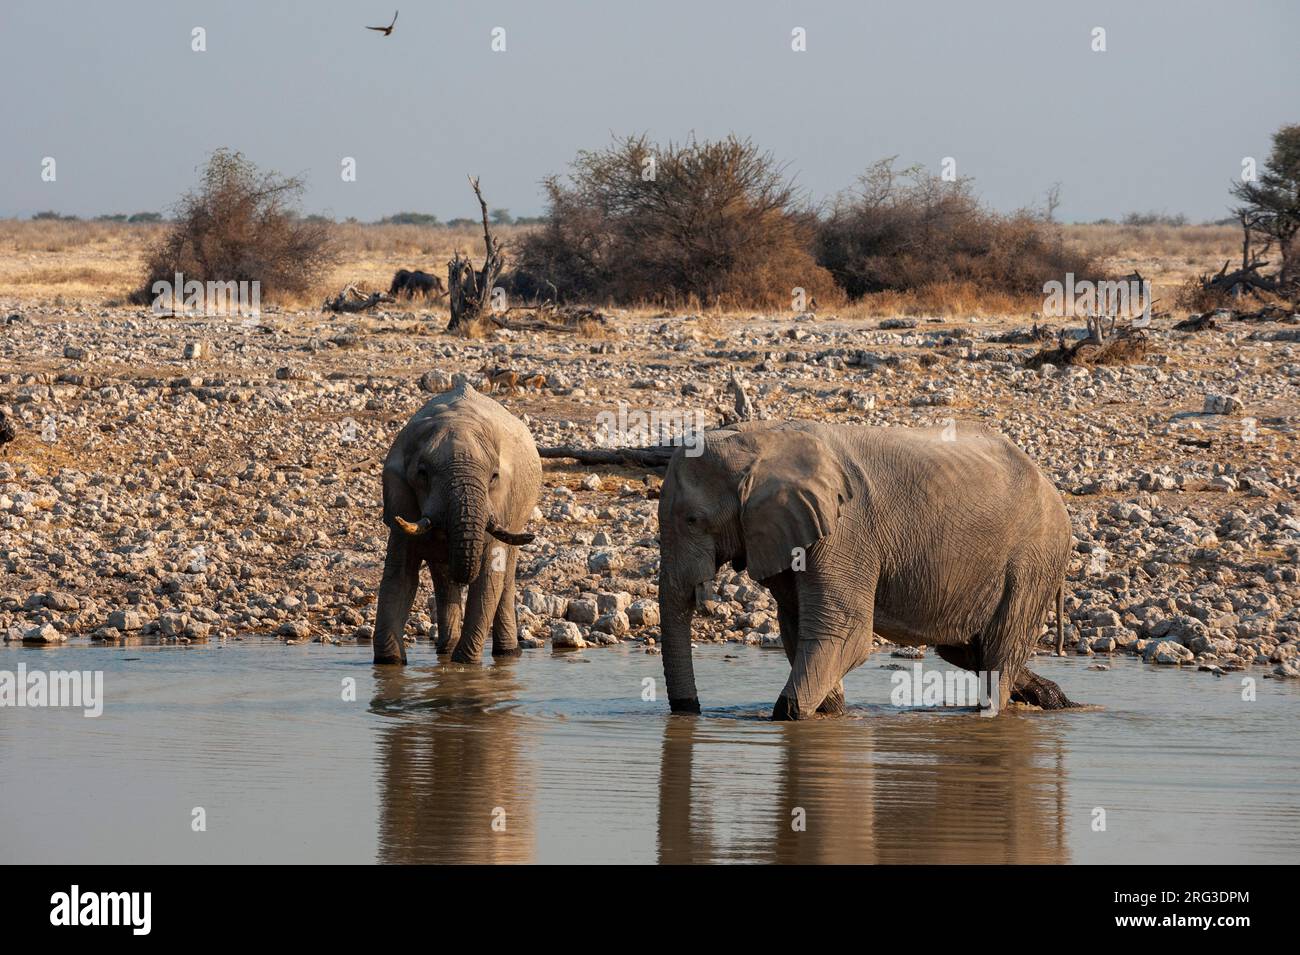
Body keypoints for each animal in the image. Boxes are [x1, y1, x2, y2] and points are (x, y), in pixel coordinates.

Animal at [374, 382, 540, 665]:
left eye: (494, 477)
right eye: (422, 474)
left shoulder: (501, 504)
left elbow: (488, 577)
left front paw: (464, 664)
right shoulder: (400, 501)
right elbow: (400, 575)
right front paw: (390, 663)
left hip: (518, 513)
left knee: (506, 577)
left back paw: (506, 653)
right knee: (442, 579)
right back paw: (446, 650)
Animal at [660, 420, 1076, 722]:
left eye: (693, 520)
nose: (690, 711)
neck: (760, 437)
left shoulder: (844, 532)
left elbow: (844, 633)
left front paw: (788, 714)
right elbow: (798, 631)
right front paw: (832, 712)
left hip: (1032, 561)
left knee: (998, 654)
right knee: (969, 650)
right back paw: (1057, 700)